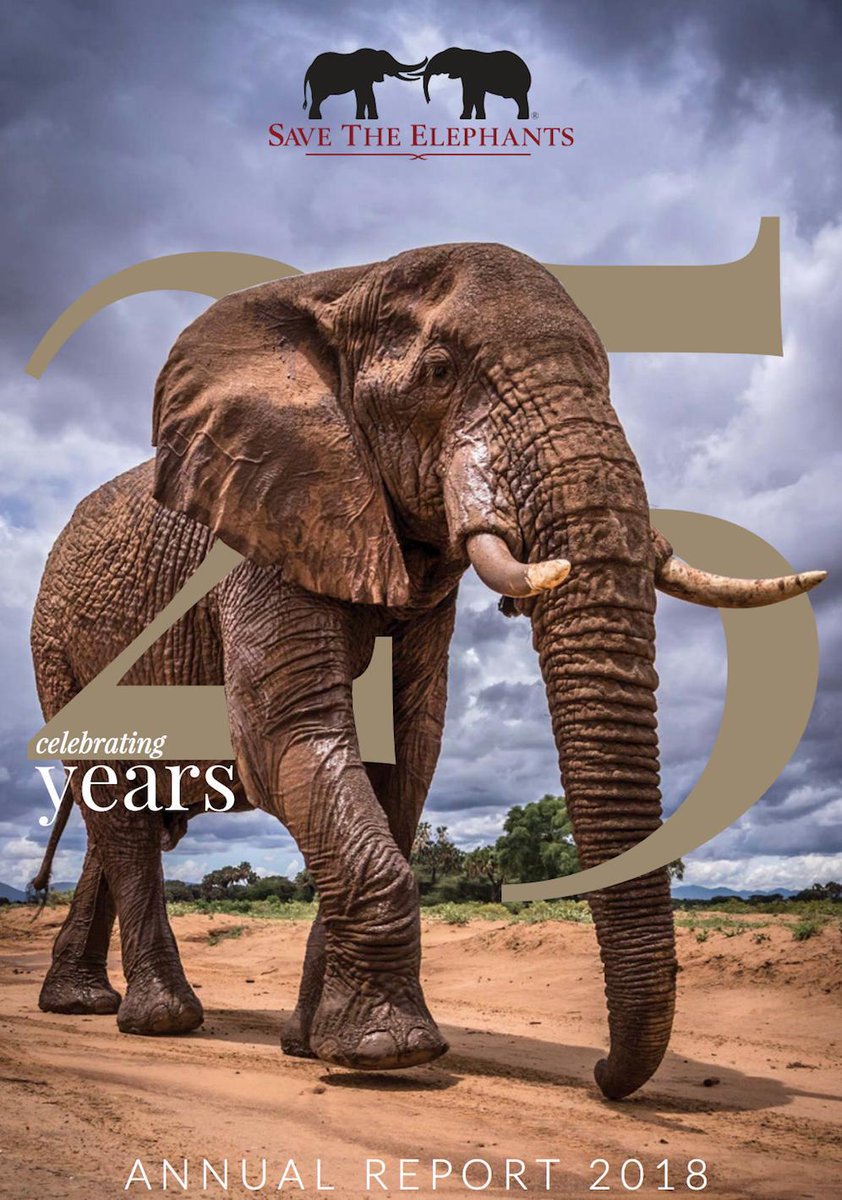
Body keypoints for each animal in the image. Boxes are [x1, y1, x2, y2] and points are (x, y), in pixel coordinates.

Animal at [30, 243, 825, 1098]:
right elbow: (287, 736)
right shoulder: (262, 531)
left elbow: (405, 757)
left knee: (124, 819)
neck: (347, 288)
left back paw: (84, 1005)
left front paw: (315, 1045)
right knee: (116, 805)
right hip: (57, 646)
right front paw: (391, 1053)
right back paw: (161, 1020)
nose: (604, 1075)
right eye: (441, 373)